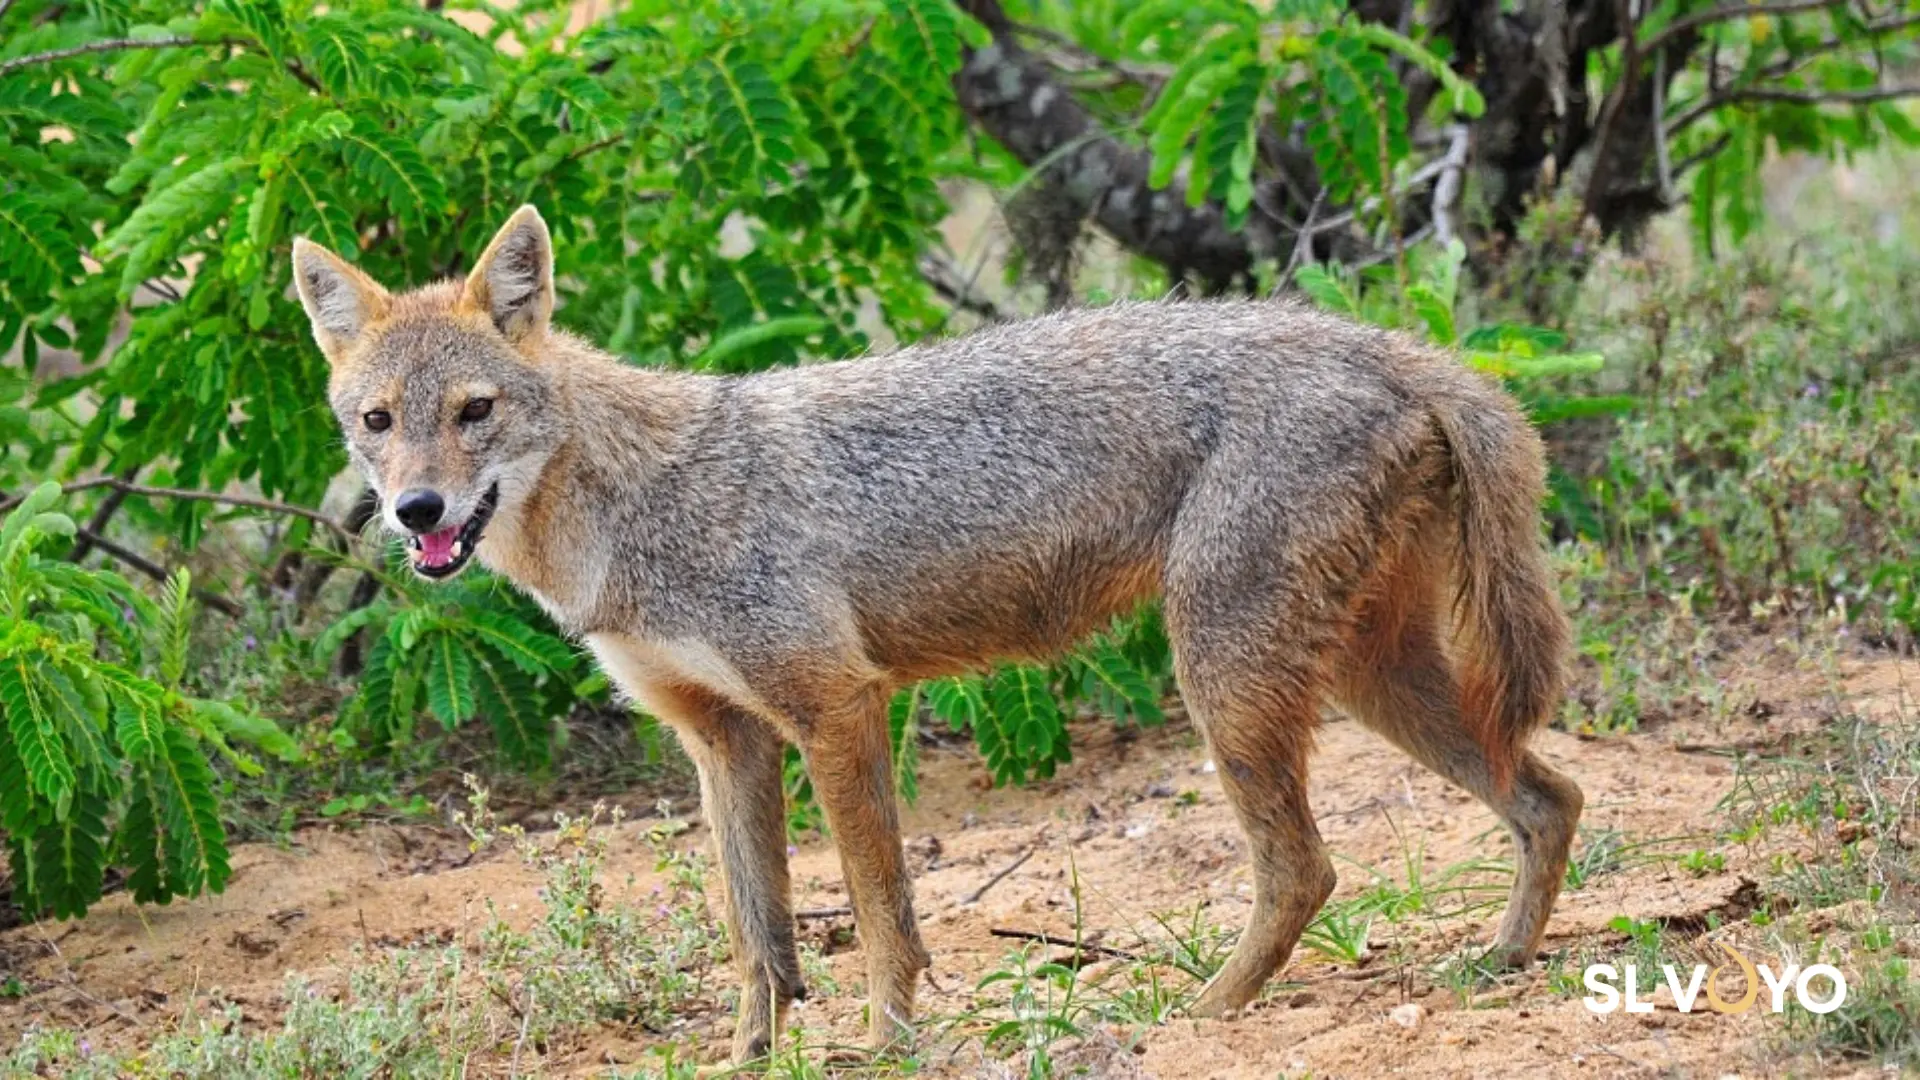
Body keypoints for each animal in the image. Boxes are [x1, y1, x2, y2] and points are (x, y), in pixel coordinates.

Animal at [292, 206, 1583, 1064]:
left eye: (475, 412)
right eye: (377, 423)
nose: (418, 515)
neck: (632, 506)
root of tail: (1389, 346)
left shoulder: (835, 706)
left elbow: (876, 911)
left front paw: (887, 1042)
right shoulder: (723, 743)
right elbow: (756, 935)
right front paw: (748, 1058)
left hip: (1227, 680)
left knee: (1308, 866)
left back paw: (1200, 1014)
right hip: (1368, 678)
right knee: (1549, 796)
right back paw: (1501, 963)